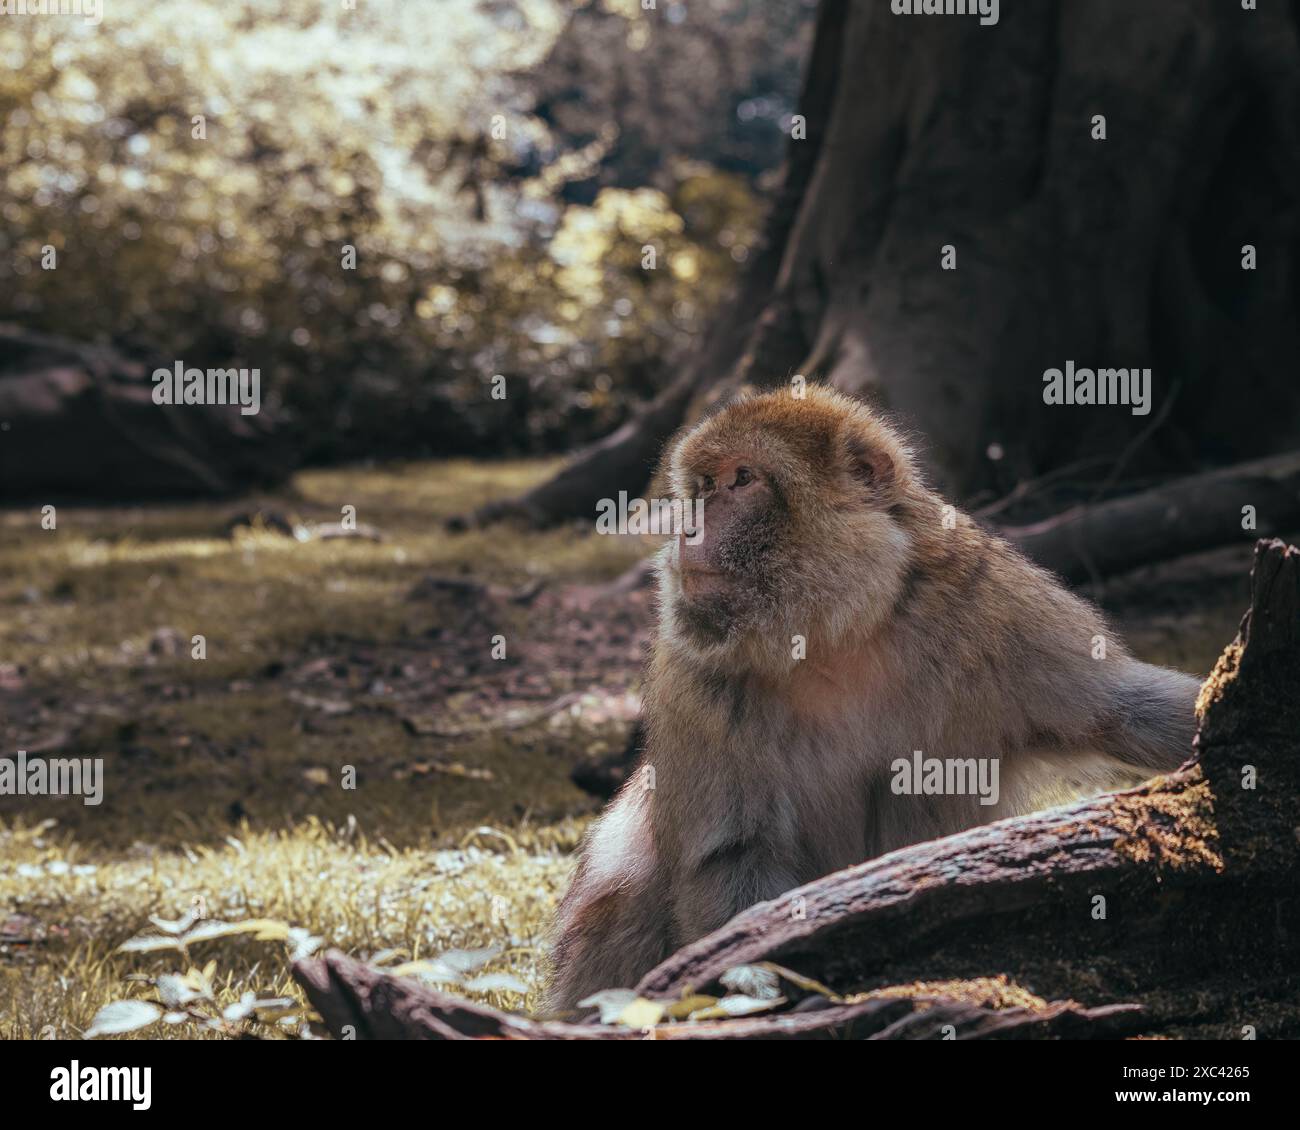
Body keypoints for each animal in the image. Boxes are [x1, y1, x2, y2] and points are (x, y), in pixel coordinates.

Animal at [543, 384, 1201, 1003]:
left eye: (742, 479)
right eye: (703, 486)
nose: (687, 528)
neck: (834, 634)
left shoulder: (986, 599)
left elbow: (1121, 705)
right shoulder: (693, 674)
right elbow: (732, 858)